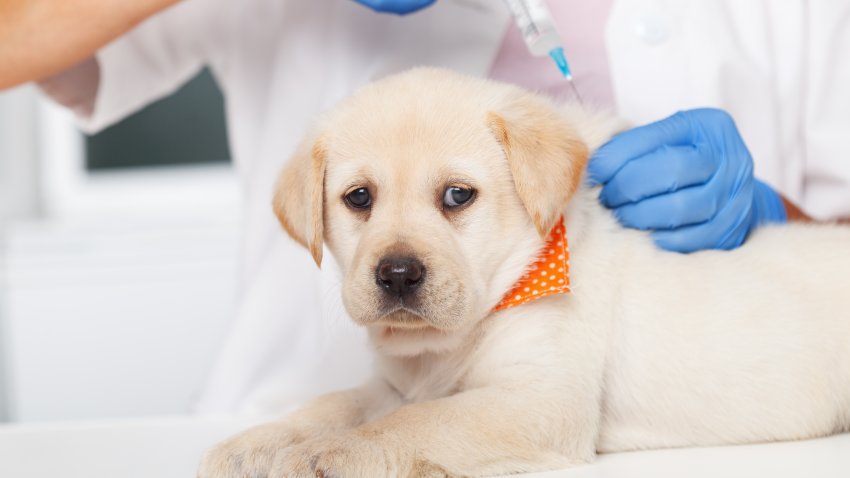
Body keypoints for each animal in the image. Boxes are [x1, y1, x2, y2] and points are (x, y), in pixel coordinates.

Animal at [199, 68, 848, 478]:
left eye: (457, 195)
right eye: (359, 198)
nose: (398, 274)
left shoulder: (538, 400)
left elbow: (410, 423)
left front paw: (328, 455)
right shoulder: (395, 383)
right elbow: (335, 402)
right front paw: (258, 442)